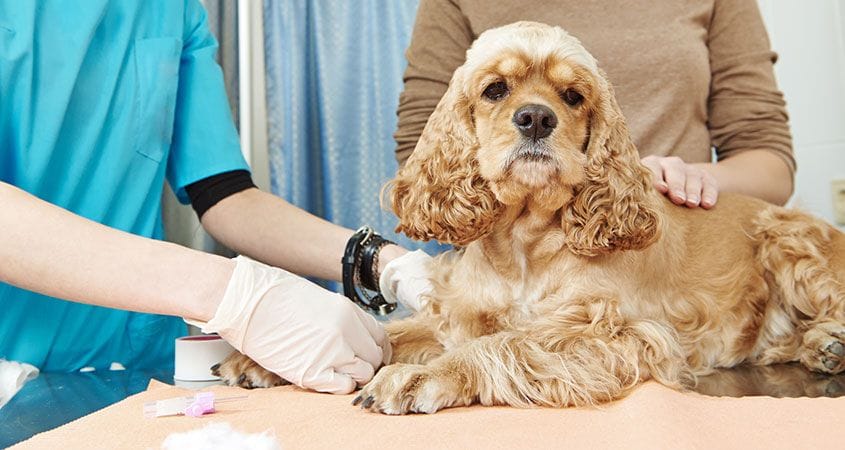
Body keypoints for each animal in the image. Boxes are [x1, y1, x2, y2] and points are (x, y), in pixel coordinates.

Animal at [218, 22, 844, 414]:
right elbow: (395, 330)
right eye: (495, 89)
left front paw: (423, 375)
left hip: (789, 236)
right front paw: (270, 352)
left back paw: (829, 339)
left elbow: (510, 344)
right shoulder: (459, 313)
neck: (523, 241)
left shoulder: (615, 332)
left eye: (573, 96)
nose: (537, 118)